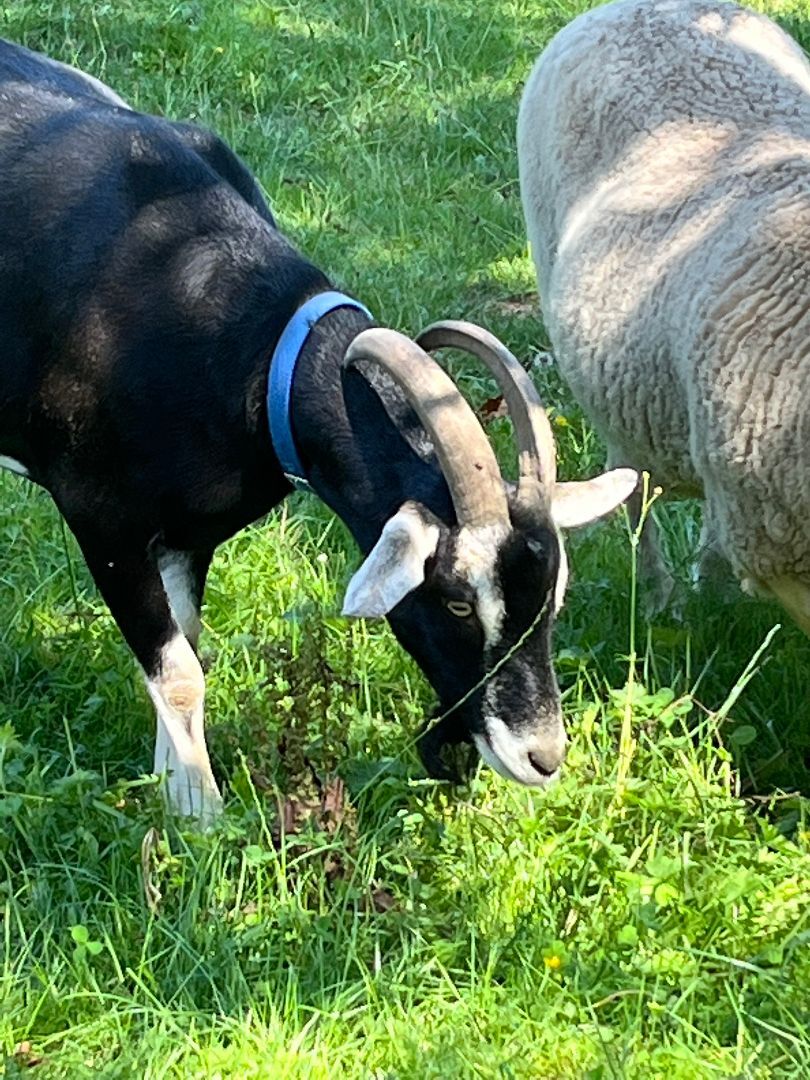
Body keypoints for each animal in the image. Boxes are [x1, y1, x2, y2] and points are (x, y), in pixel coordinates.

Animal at [0, 38, 636, 823]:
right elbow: (177, 672)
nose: (541, 757)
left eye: (552, 595)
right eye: (458, 599)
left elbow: (187, 646)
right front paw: (205, 819)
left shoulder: (186, 532)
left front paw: (171, 792)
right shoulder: (103, 520)